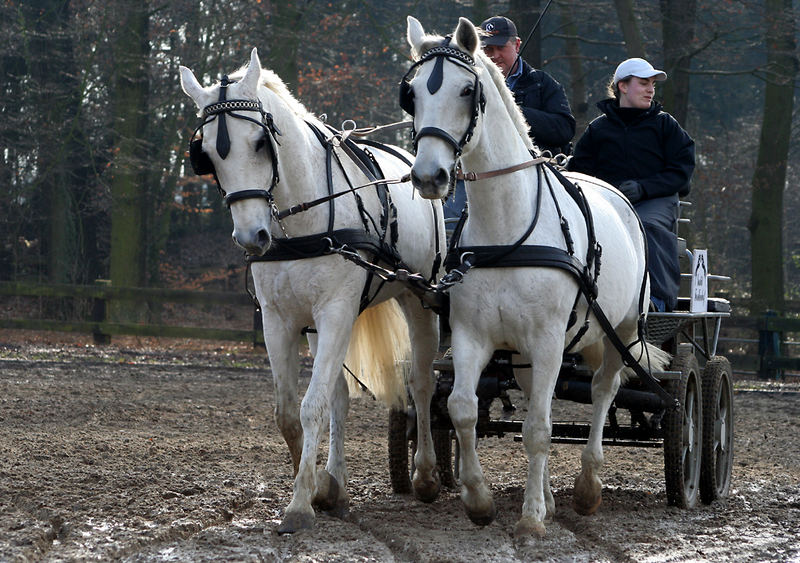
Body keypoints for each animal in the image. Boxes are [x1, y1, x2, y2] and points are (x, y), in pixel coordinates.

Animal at [177, 48, 446, 532]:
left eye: (260, 143)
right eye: (205, 153)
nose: (252, 237)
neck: (304, 217)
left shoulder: (337, 311)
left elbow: (310, 406)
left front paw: (300, 505)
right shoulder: (279, 320)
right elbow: (290, 413)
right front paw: (320, 486)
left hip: (418, 300)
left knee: (420, 382)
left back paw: (426, 476)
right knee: (340, 397)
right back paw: (337, 484)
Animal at [404, 16, 672, 536]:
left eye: (467, 90)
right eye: (412, 93)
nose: (429, 176)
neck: (508, 226)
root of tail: (618, 194)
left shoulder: (549, 338)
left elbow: (539, 429)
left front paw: (530, 520)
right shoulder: (472, 335)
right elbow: (463, 409)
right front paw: (480, 500)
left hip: (622, 329)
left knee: (603, 390)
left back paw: (587, 488)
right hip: (528, 353)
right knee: (534, 397)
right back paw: (548, 496)